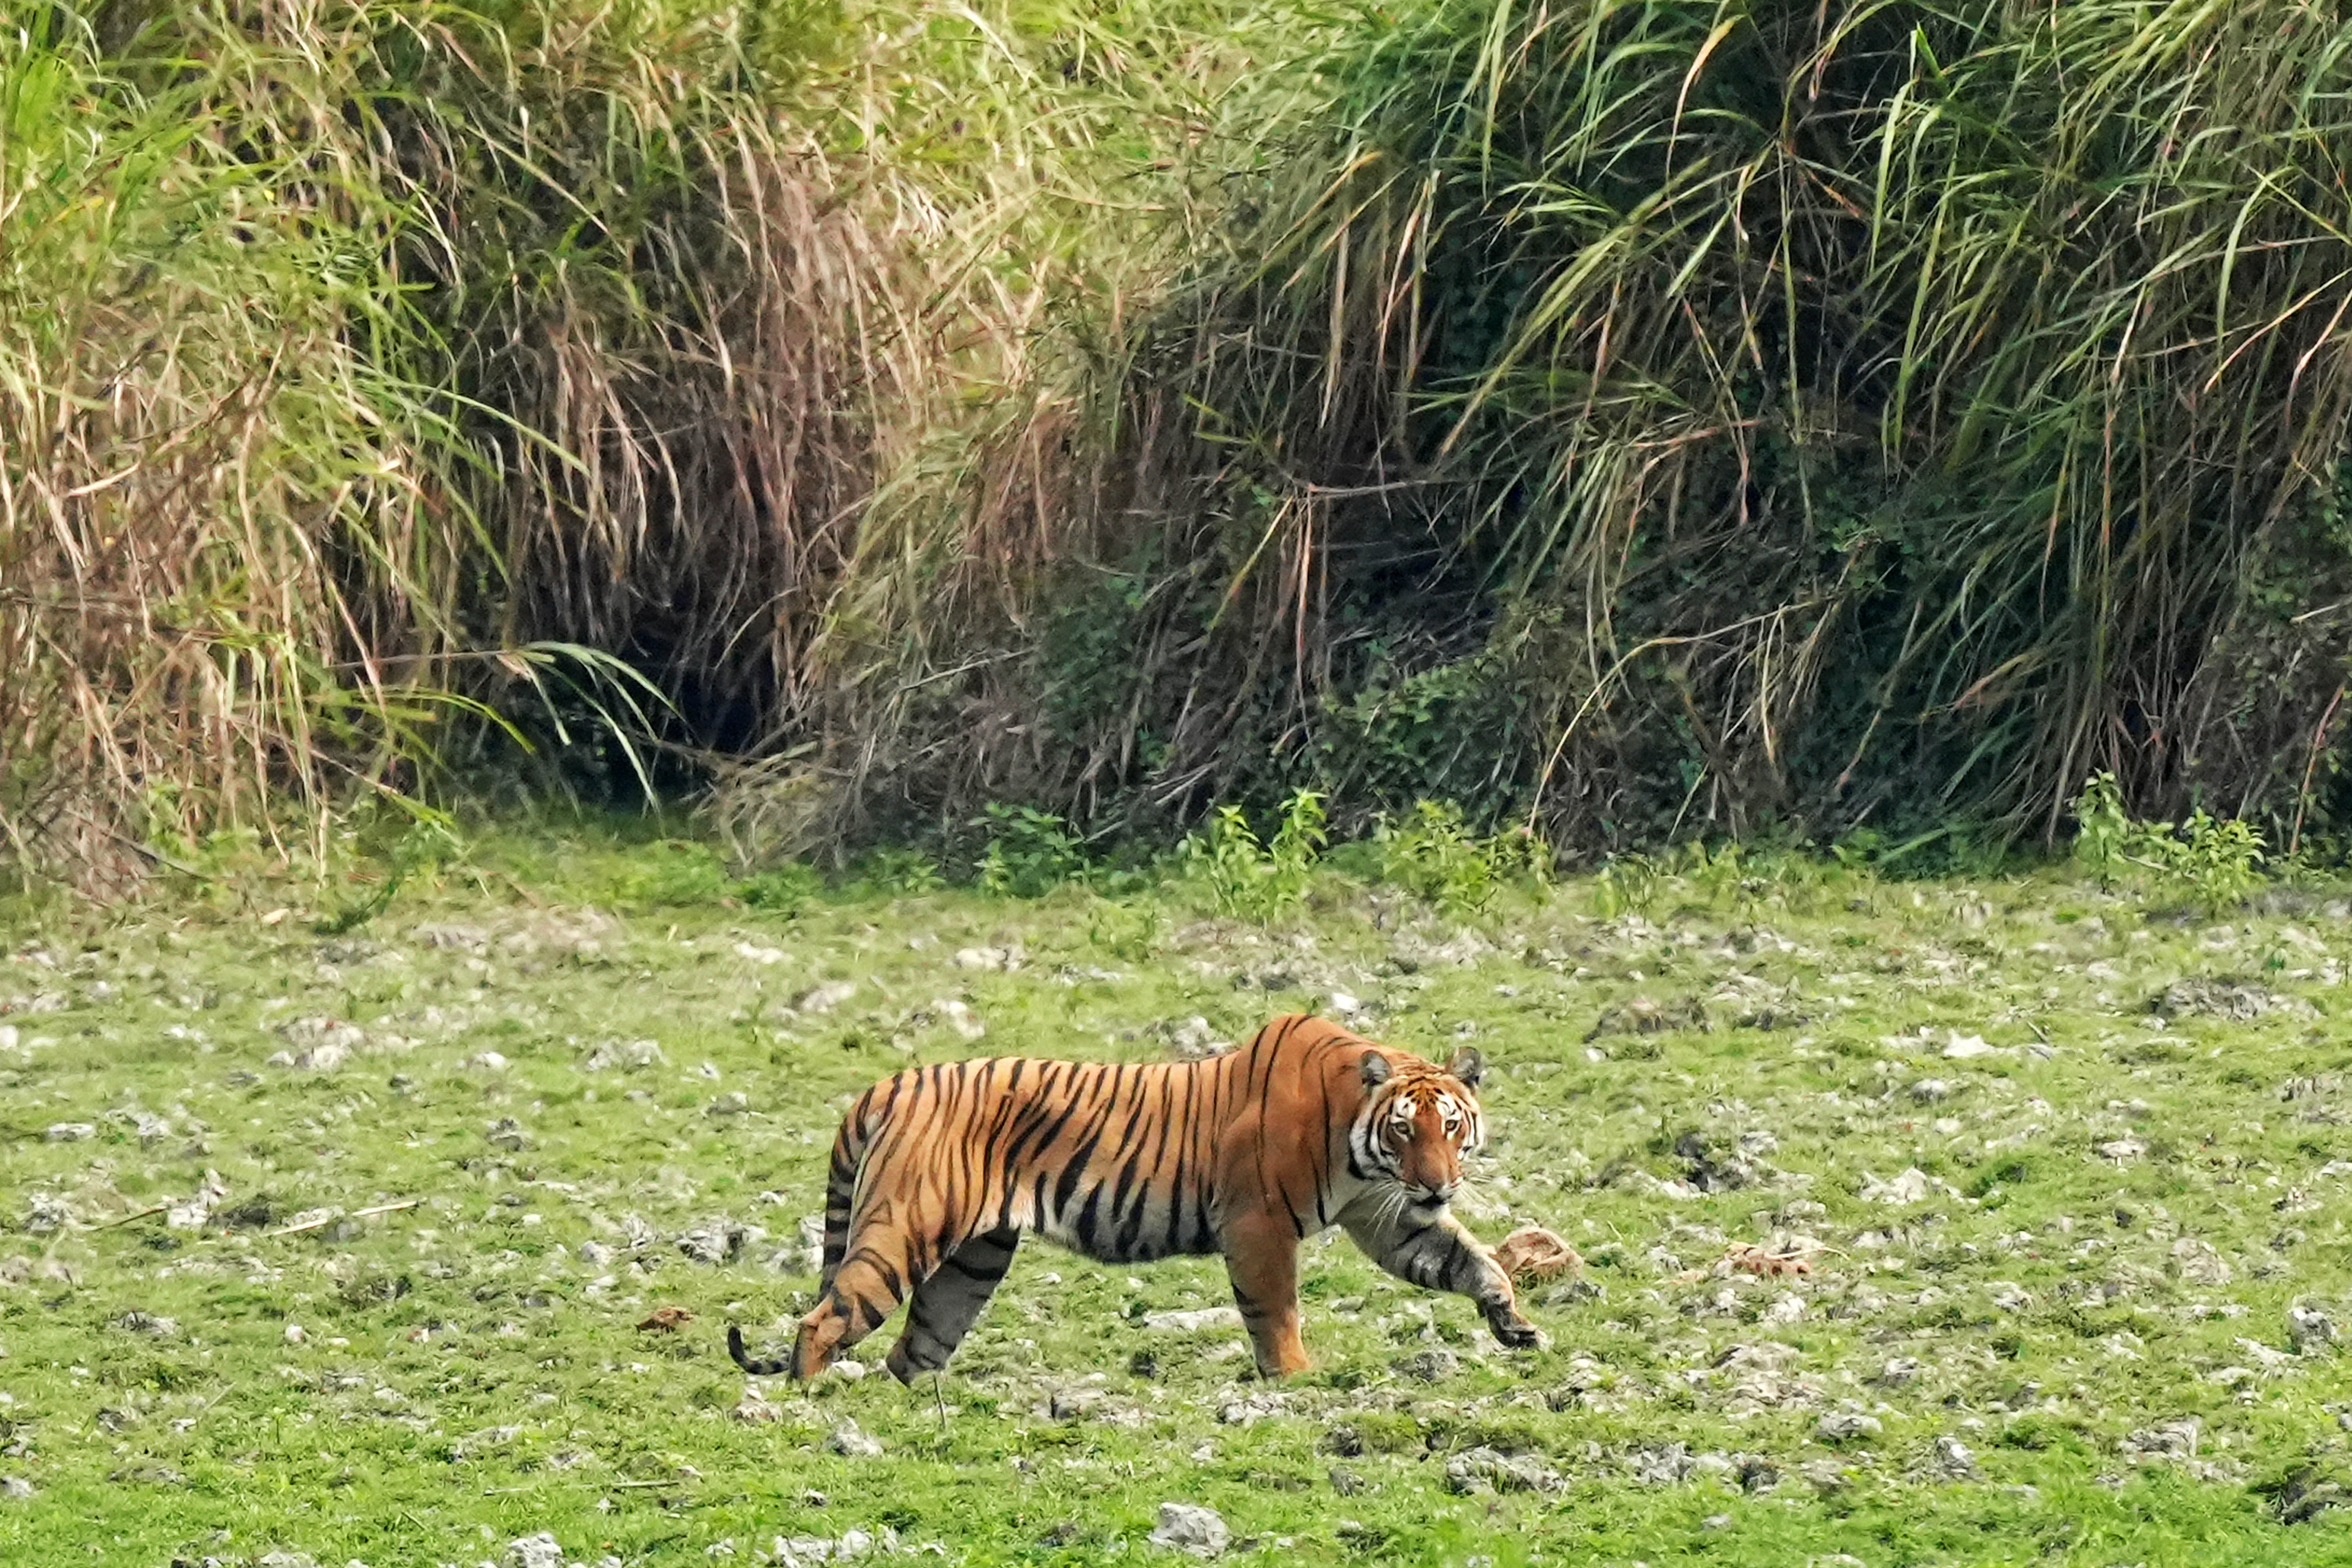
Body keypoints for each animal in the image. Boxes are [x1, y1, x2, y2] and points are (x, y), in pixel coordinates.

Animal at [734, 1011, 1543, 1382]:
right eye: (1404, 1129)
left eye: (1449, 1126)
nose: (1437, 1183)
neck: (1359, 1144)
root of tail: (889, 1083)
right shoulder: (1258, 1224)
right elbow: (1276, 1309)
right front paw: (1295, 1380)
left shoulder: (1385, 1218)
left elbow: (1470, 1260)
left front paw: (1515, 1325)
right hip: (905, 1228)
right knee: (824, 1320)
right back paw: (816, 1404)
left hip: (974, 1259)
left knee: (914, 1349)